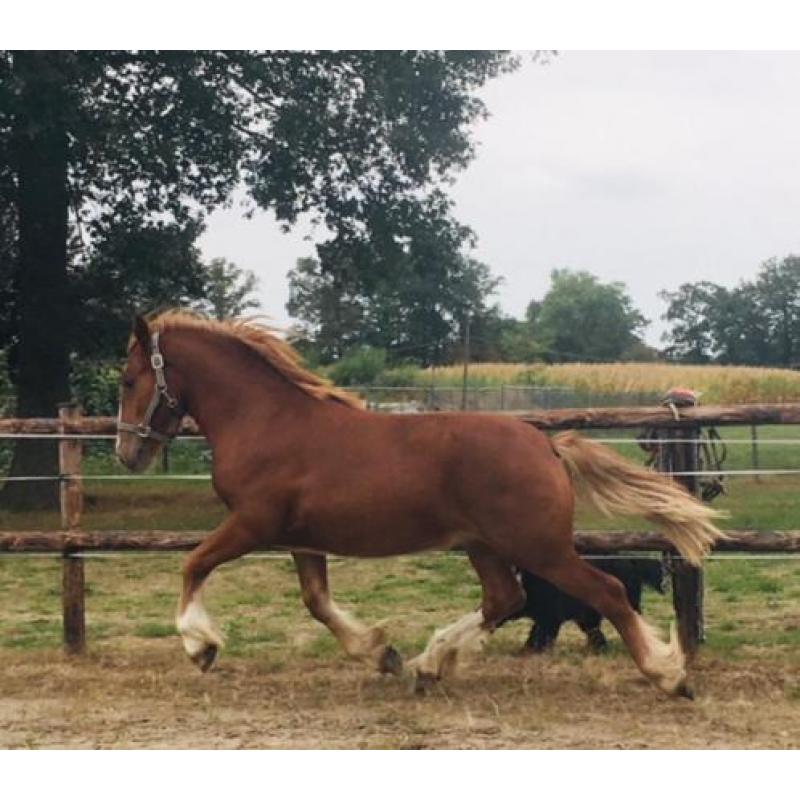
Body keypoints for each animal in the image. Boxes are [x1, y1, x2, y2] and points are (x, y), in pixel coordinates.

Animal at [115, 314, 720, 700]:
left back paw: (669, 676)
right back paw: (427, 666)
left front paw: (201, 647)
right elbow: (317, 603)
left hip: (537, 545)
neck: (266, 421)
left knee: (606, 592)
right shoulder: (302, 538)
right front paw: (381, 654)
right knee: (504, 599)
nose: (127, 453)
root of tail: (546, 444)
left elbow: (193, 564)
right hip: (485, 545)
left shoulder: (252, 523)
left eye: (127, 378)